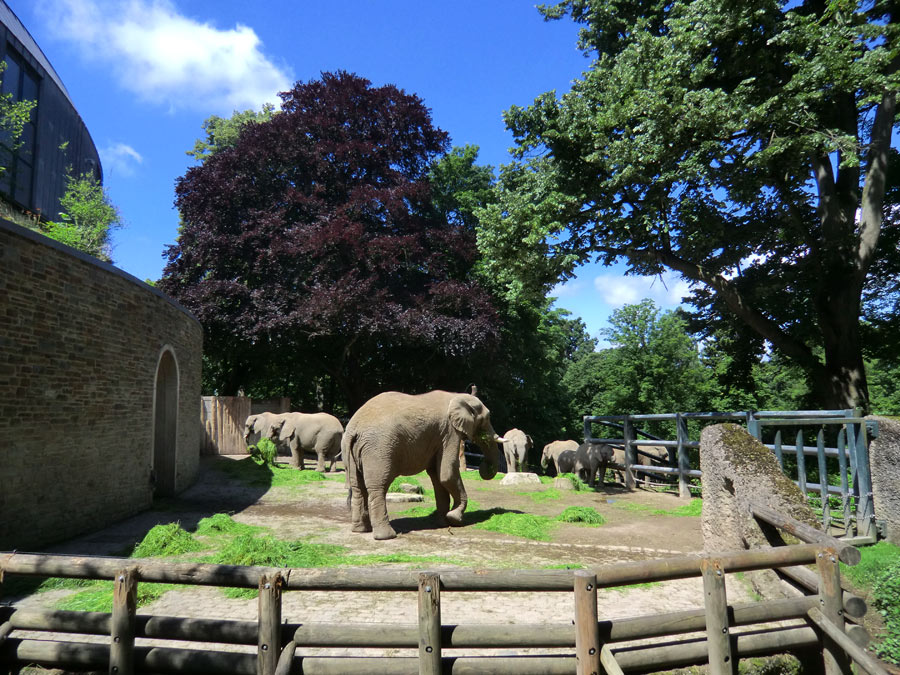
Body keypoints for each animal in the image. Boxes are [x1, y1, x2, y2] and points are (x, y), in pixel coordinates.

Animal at [342, 390, 502, 540]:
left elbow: (437, 476)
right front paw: (455, 518)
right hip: (378, 450)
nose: (484, 466)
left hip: (351, 451)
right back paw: (387, 536)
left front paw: (442, 523)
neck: (457, 396)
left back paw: (360, 530)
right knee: (378, 487)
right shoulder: (449, 432)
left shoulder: (439, 436)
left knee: (358, 487)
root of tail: (354, 428)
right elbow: (447, 474)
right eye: (487, 418)